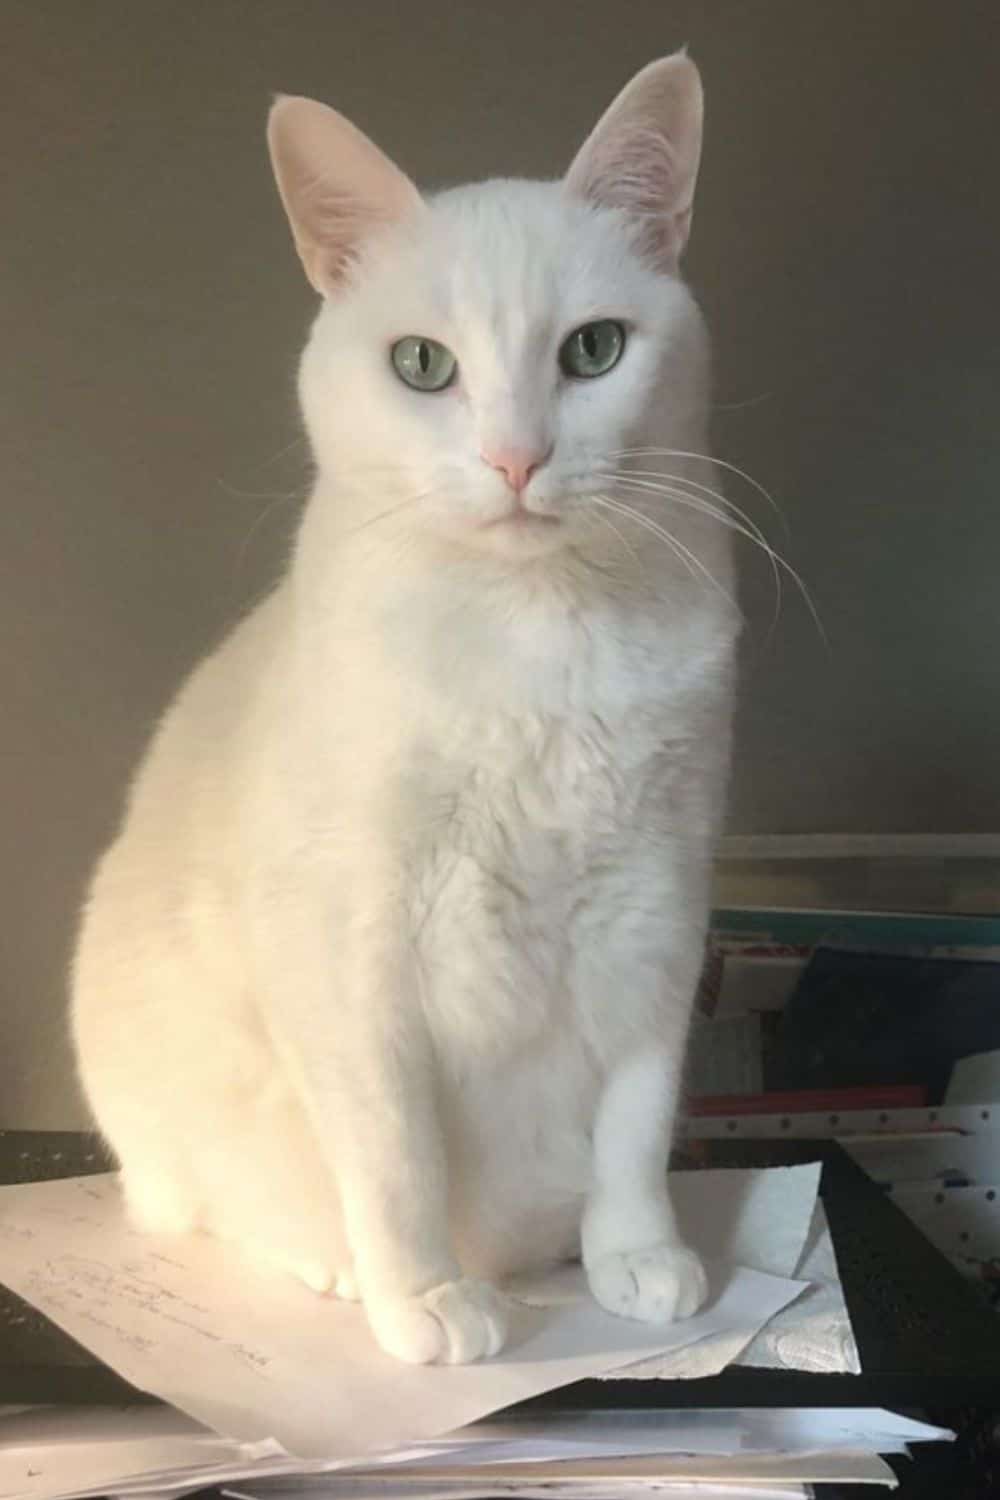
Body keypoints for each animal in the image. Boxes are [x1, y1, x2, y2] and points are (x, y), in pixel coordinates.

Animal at [70, 52, 740, 1368]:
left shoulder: (656, 909)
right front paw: (426, 1298)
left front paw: (636, 1257)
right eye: (423, 365)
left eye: (594, 350)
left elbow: (636, 1118)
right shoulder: (351, 949)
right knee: (201, 1201)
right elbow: (393, 1155)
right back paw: (339, 1268)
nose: (517, 458)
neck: (535, 638)